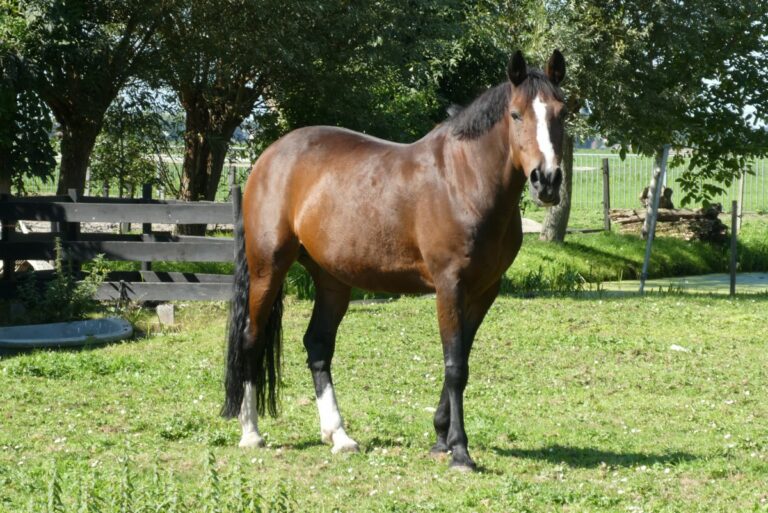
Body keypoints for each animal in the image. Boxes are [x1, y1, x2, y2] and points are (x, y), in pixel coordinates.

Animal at [222, 50, 566, 471]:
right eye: (516, 114)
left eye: (562, 112)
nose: (547, 180)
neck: (464, 181)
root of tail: (268, 158)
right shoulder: (449, 286)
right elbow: (455, 366)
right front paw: (460, 451)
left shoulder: (485, 290)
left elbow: (461, 358)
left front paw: (441, 438)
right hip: (267, 269)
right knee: (251, 340)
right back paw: (251, 433)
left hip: (332, 280)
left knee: (317, 345)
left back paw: (339, 436)